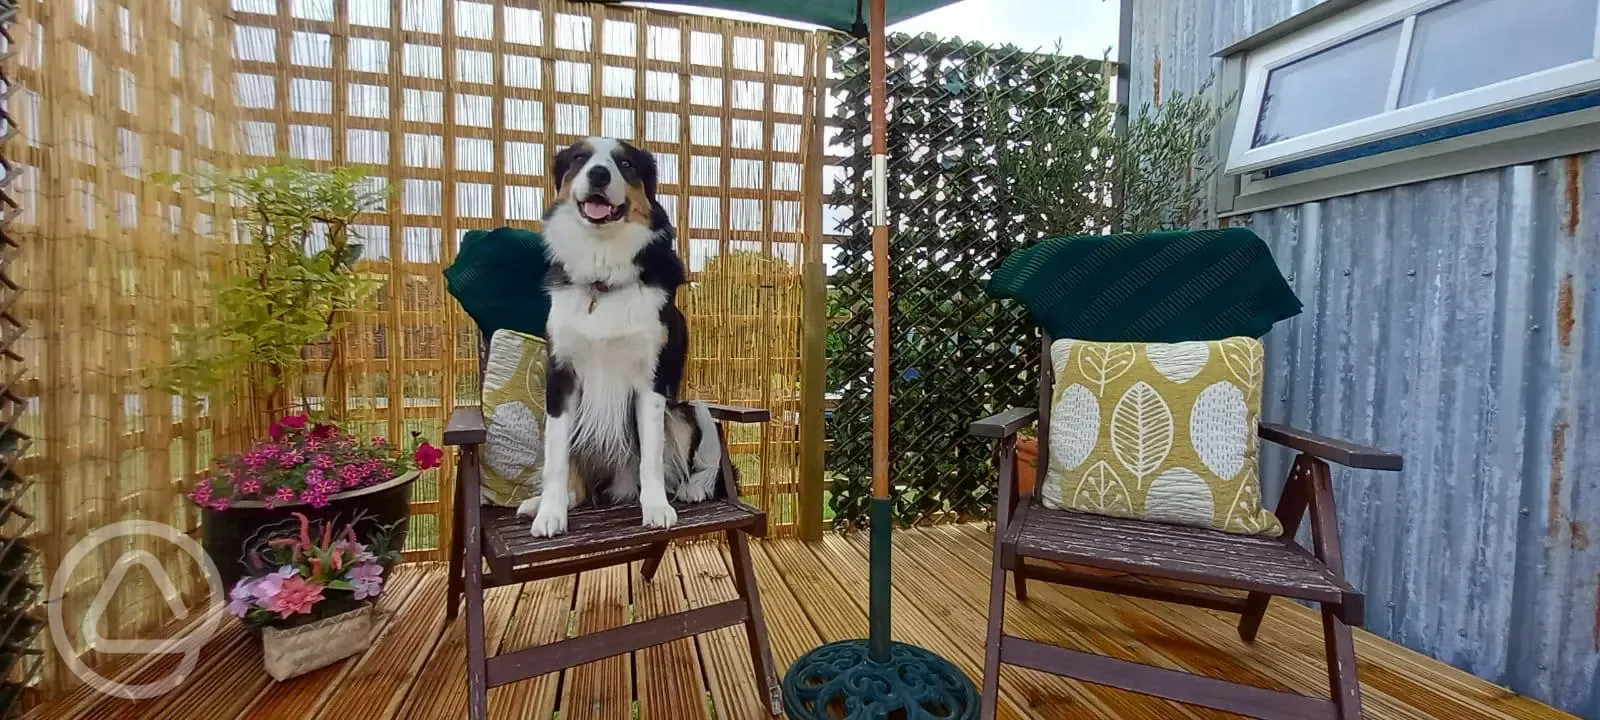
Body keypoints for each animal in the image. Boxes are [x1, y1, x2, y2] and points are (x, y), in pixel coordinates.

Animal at [518, 137, 726, 537]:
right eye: (579, 158)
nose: (599, 174)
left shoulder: (651, 381)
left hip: (685, 409)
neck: (603, 278)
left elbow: (653, 457)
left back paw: (693, 488)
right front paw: (550, 513)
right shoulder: (561, 376)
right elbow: (556, 459)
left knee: (699, 460)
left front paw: (657, 508)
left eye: (626, 164)